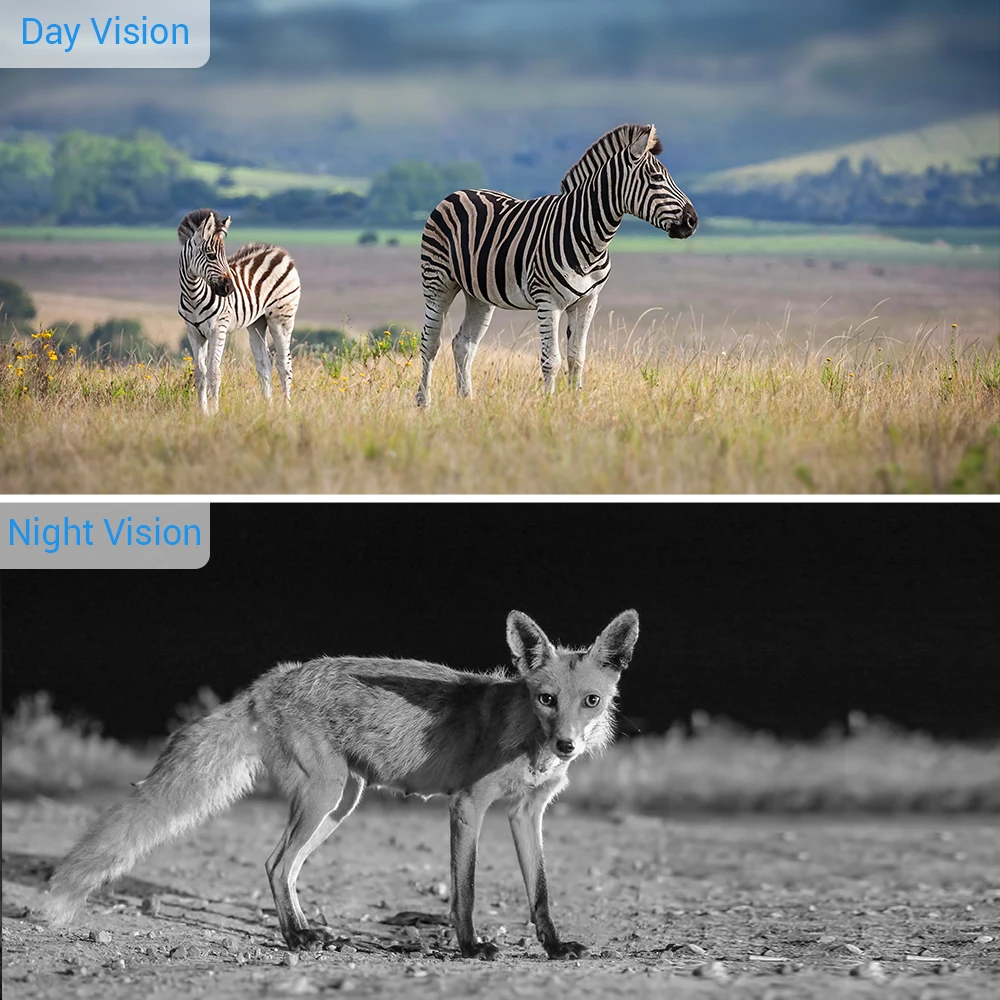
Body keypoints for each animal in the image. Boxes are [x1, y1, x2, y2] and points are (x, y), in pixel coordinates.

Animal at [43, 608, 636, 960]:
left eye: (591, 701)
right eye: (546, 699)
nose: (567, 746)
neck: (526, 739)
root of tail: (273, 678)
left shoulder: (526, 813)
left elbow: (540, 893)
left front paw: (555, 947)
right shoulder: (468, 806)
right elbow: (464, 891)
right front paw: (470, 947)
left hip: (339, 804)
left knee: (285, 868)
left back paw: (309, 930)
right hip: (324, 795)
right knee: (276, 863)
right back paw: (296, 938)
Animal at [176, 209, 300, 412]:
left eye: (224, 256)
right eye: (211, 255)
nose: (229, 289)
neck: (193, 295)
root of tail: (280, 252)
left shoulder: (218, 329)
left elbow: (214, 372)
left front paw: (215, 412)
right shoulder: (193, 332)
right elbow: (200, 374)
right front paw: (202, 413)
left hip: (281, 318)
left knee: (284, 364)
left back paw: (286, 408)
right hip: (257, 322)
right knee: (264, 364)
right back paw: (268, 408)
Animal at [414, 125, 696, 406]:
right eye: (656, 178)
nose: (692, 221)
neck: (589, 237)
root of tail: (458, 192)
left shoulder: (587, 301)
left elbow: (576, 358)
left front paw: (575, 403)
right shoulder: (548, 301)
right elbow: (552, 360)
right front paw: (548, 406)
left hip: (479, 295)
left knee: (463, 343)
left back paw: (467, 401)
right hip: (438, 282)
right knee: (430, 343)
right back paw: (424, 402)